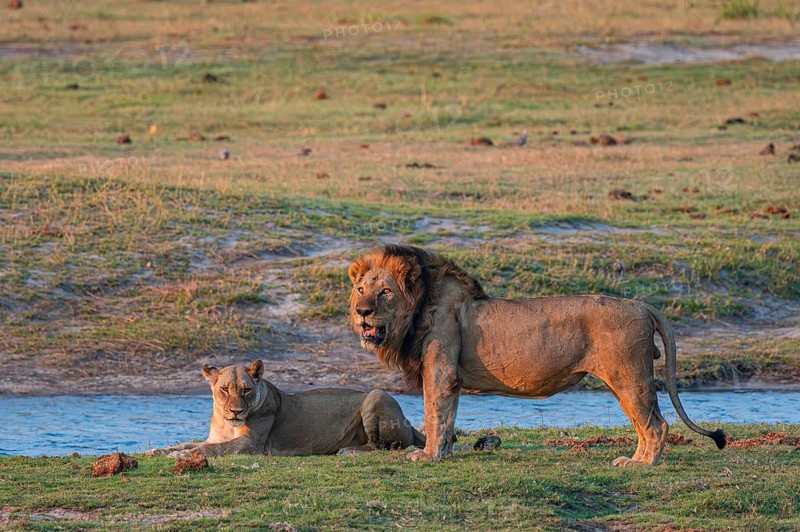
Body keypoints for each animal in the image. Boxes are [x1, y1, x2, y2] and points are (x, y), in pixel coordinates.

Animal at [147, 360, 425, 458]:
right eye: (224, 389)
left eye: (246, 390)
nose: (235, 412)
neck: (227, 422)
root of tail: (410, 424)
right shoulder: (216, 436)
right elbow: (192, 443)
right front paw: (161, 451)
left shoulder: (251, 445)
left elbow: (211, 449)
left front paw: (182, 455)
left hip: (376, 394)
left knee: (386, 446)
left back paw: (349, 451)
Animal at [348, 244, 726, 466]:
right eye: (361, 289)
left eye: (385, 292)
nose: (362, 311)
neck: (418, 307)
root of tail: (642, 304)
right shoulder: (449, 378)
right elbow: (448, 416)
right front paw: (443, 453)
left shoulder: (440, 372)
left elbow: (433, 414)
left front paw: (427, 457)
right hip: (624, 381)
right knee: (647, 423)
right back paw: (634, 459)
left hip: (629, 377)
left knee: (657, 424)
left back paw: (641, 464)